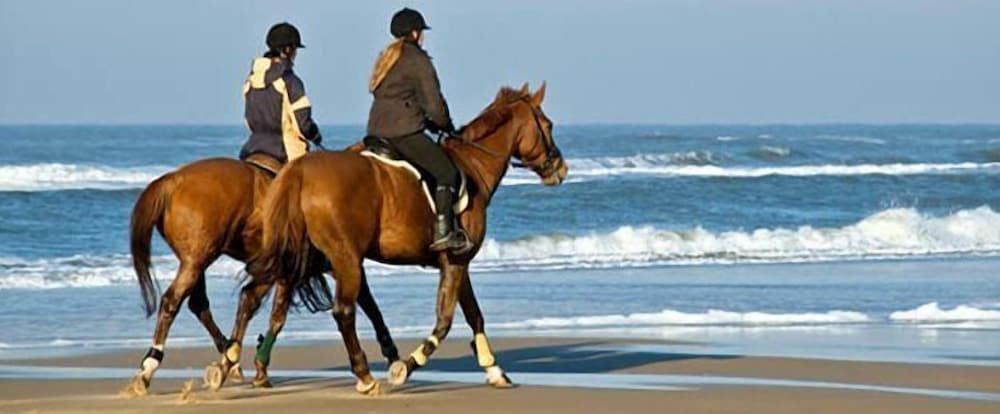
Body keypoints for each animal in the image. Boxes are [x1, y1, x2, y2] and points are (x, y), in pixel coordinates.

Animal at [124, 156, 401, 395]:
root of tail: (172, 180)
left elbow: (259, 307)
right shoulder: (332, 265)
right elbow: (280, 317)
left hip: (195, 261)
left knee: (197, 303)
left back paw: (227, 357)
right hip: (196, 260)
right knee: (173, 301)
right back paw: (151, 366)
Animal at [218, 83, 567, 395]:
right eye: (548, 125)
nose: (559, 168)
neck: (473, 166)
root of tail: (300, 171)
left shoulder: (458, 263)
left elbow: (474, 315)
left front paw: (494, 370)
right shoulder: (455, 261)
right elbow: (445, 320)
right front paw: (406, 366)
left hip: (301, 256)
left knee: (255, 297)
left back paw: (229, 364)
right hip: (343, 259)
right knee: (341, 311)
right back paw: (363, 376)